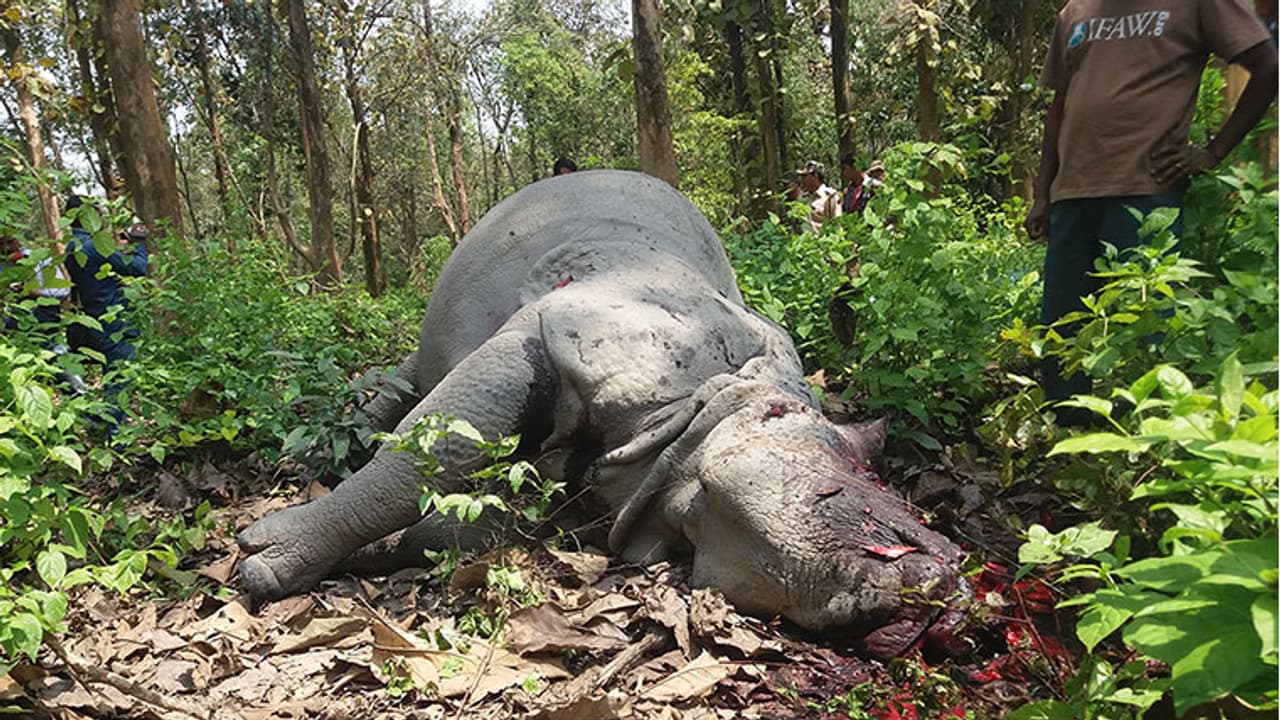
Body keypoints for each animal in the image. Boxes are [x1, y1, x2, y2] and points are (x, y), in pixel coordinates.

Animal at [238, 170, 969, 659]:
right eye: (840, 490)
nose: (951, 580)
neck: (703, 421)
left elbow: (473, 522)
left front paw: (385, 551)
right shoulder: (559, 331)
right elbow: (433, 448)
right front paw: (263, 561)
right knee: (414, 382)